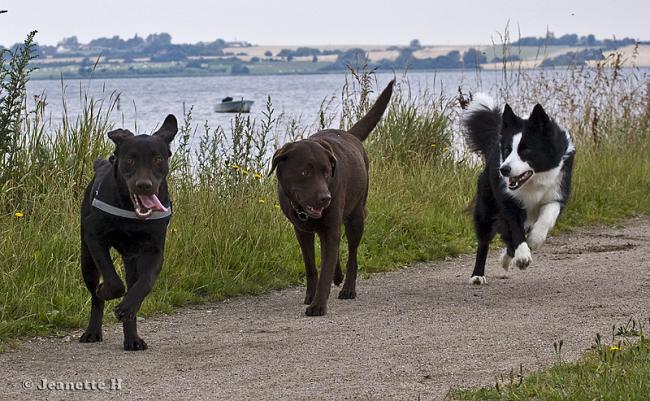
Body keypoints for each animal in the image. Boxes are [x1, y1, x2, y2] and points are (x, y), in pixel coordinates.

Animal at [79, 114, 178, 348]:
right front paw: (105, 290)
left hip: (132, 260)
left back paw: (132, 338)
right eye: (130, 160)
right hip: (86, 259)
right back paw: (92, 331)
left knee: (134, 289)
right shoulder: (94, 237)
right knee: (95, 298)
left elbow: (144, 283)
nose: (144, 185)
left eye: (158, 159)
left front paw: (126, 308)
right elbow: (114, 282)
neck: (131, 212)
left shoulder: (154, 250)